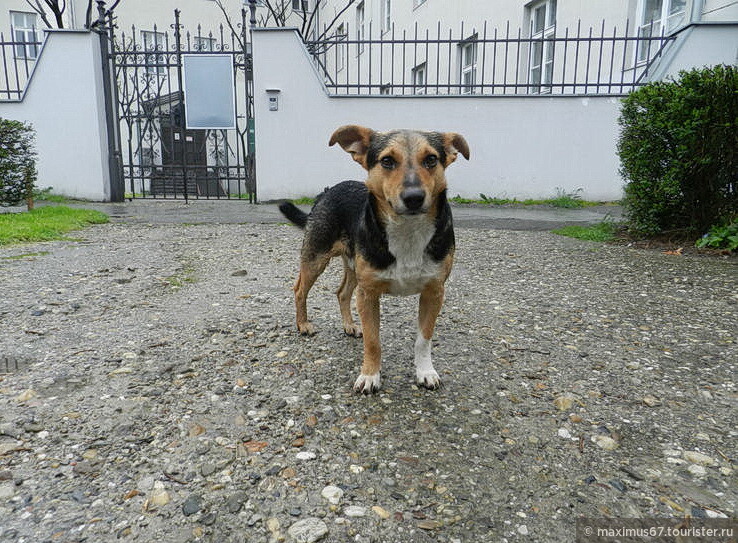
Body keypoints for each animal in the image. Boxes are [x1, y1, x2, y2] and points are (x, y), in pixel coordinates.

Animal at [278, 125, 468, 394]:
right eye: (387, 161)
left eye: (431, 159)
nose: (414, 197)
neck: (407, 230)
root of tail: (326, 191)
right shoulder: (368, 293)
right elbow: (373, 341)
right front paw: (369, 375)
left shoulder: (434, 292)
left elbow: (424, 339)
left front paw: (425, 372)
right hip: (316, 257)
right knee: (299, 290)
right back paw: (303, 324)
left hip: (353, 265)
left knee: (342, 293)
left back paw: (348, 325)